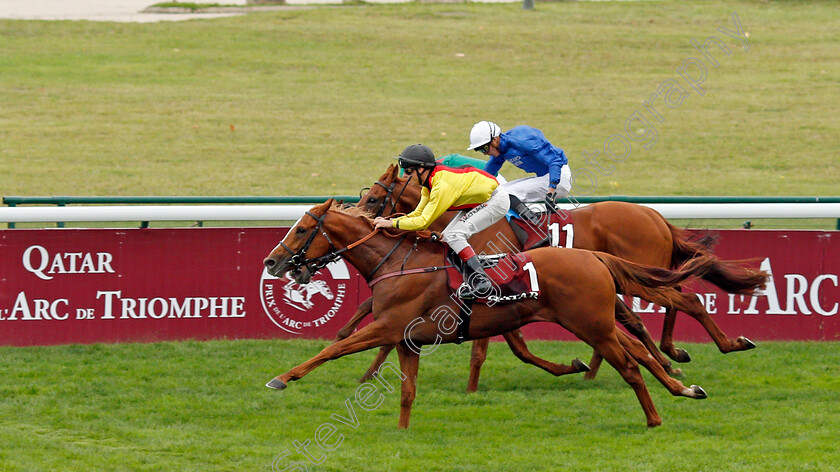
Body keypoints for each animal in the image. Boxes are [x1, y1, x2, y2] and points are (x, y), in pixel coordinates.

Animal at [264, 201, 728, 430]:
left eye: (302, 229)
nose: (272, 262)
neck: (398, 263)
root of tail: (592, 255)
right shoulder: (406, 340)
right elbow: (407, 391)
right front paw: (401, 433)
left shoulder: (387, 327)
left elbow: (334, 349)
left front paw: (282, 378)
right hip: (596, 322)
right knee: (638, 346)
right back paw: (681, 385)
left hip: (591, 324)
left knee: (634, 359)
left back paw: (656, 412)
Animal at [342, 164, 768, 386]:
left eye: (375, 198)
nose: (359, 217)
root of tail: (656, 217)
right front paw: (359, 354)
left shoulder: (488, 281)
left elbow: (490, 345)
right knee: (658, 308)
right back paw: (657, 357)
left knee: (684, 299)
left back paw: (705, 349)